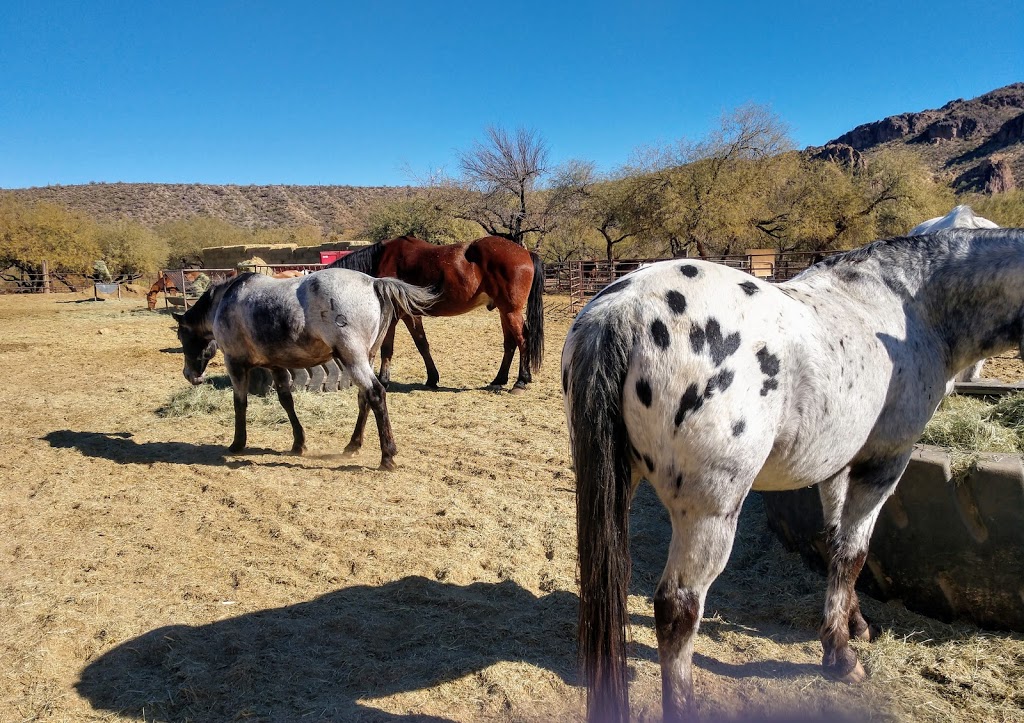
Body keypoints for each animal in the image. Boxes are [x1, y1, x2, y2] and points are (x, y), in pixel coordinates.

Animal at [173, 268, 436, 466]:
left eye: (181, 336)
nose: (189, 375)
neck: (225, 301)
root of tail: (373, 282)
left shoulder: (235, 363)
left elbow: (240, 403)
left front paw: (238, 443)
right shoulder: (276, 365)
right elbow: (286, 400)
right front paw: (298, 443)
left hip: (354, 358)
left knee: (376, 394)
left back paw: (387, 456)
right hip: (366, 359)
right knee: (365, 399)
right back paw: (353, 445)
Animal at [333, 235, 544, 391]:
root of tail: (525, 252)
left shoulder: (392, 318)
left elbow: (387, 349)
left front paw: (384, 381)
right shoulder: (411, 315)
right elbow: (422, 344)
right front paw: (432, 378)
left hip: (511, 311)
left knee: (522, 340)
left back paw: (521, 381)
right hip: (504, 311)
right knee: (510, 344)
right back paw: (499, 379)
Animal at [561, 229, 1024, 716]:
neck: (908, 305)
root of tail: (623, 310)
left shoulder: (836, 467)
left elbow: (836, 545)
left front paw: (854, 626)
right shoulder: (883, 464)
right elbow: (854, 554)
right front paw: (841, 657)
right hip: (709, 514)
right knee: (677, 609)